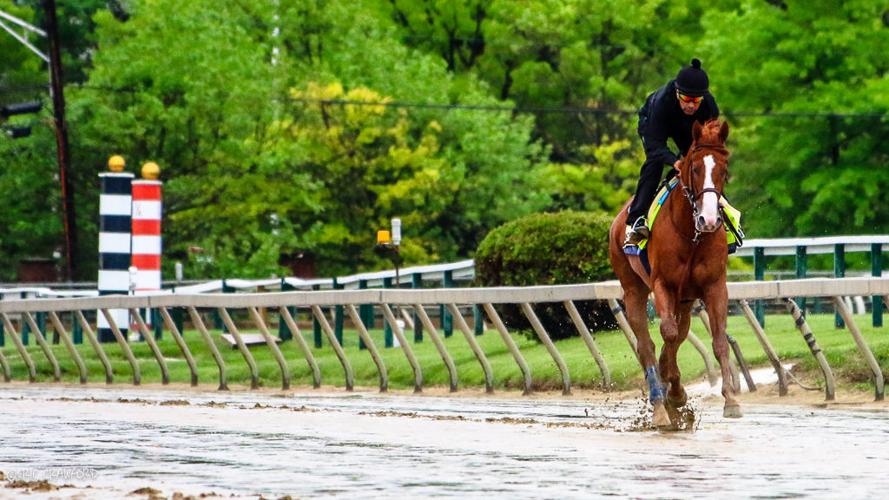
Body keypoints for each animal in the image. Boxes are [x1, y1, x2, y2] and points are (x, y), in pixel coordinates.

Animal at [608, 119, 740, 429]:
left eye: (724, 169)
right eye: (695, 168)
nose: (709, 220)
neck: (691, 234)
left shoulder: (714, 286)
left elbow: (718, 340)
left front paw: (730, 400)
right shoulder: (663, 285)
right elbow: (666, 334)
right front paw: (675, 393)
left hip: (686, 300)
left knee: (677, 335)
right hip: (633, 289)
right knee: (646, 345)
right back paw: (660, 405)